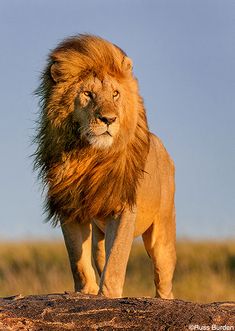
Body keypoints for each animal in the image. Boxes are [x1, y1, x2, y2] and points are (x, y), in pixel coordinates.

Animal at [33, 35, 176, 300]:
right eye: (88, 94)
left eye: (116, 94)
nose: (109, 119)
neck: (89, 155)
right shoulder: (69, 207)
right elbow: (77, 261)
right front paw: (86, 292)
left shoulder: (123, 208)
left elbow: (116, 260)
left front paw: (108, 295)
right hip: (99, 238)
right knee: (100, 255)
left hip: (162, 235)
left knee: (164, 278)